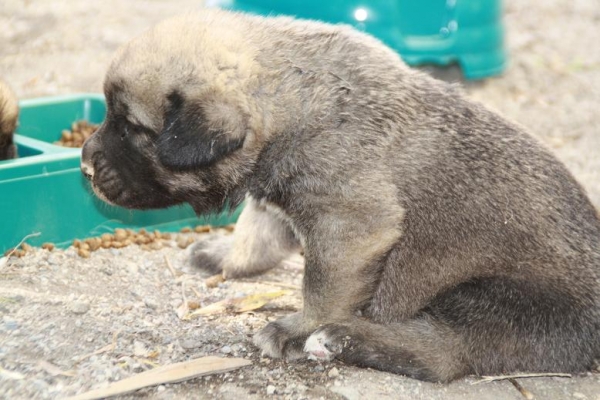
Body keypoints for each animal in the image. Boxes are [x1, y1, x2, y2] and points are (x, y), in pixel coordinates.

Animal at [81, 10, 600, 382]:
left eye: (132, 128)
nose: (85, 164)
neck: (292, 99)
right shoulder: (274, 193)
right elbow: (257, 230)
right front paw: (228, 255)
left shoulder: (349, 222)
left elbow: (323, 286)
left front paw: (299, 329)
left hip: (486, 299)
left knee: (445, 354)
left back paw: (338, 339)